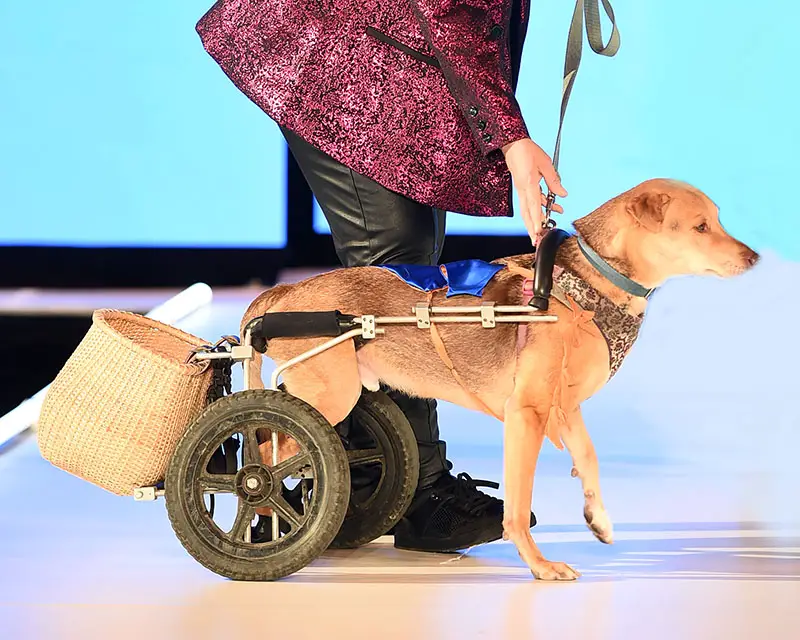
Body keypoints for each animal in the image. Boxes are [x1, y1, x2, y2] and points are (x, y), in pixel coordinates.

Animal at [241, 179, 760, 580]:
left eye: (718, 220)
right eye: (700, 227)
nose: (754, 257)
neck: (587, 285)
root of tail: (285, 292)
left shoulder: (565, 406)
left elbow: (589, 458)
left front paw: (599, 519)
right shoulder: (526, 414)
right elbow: (519, 501)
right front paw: (539, 565)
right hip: (327, 395)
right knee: (264, 450)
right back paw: (263, 520)